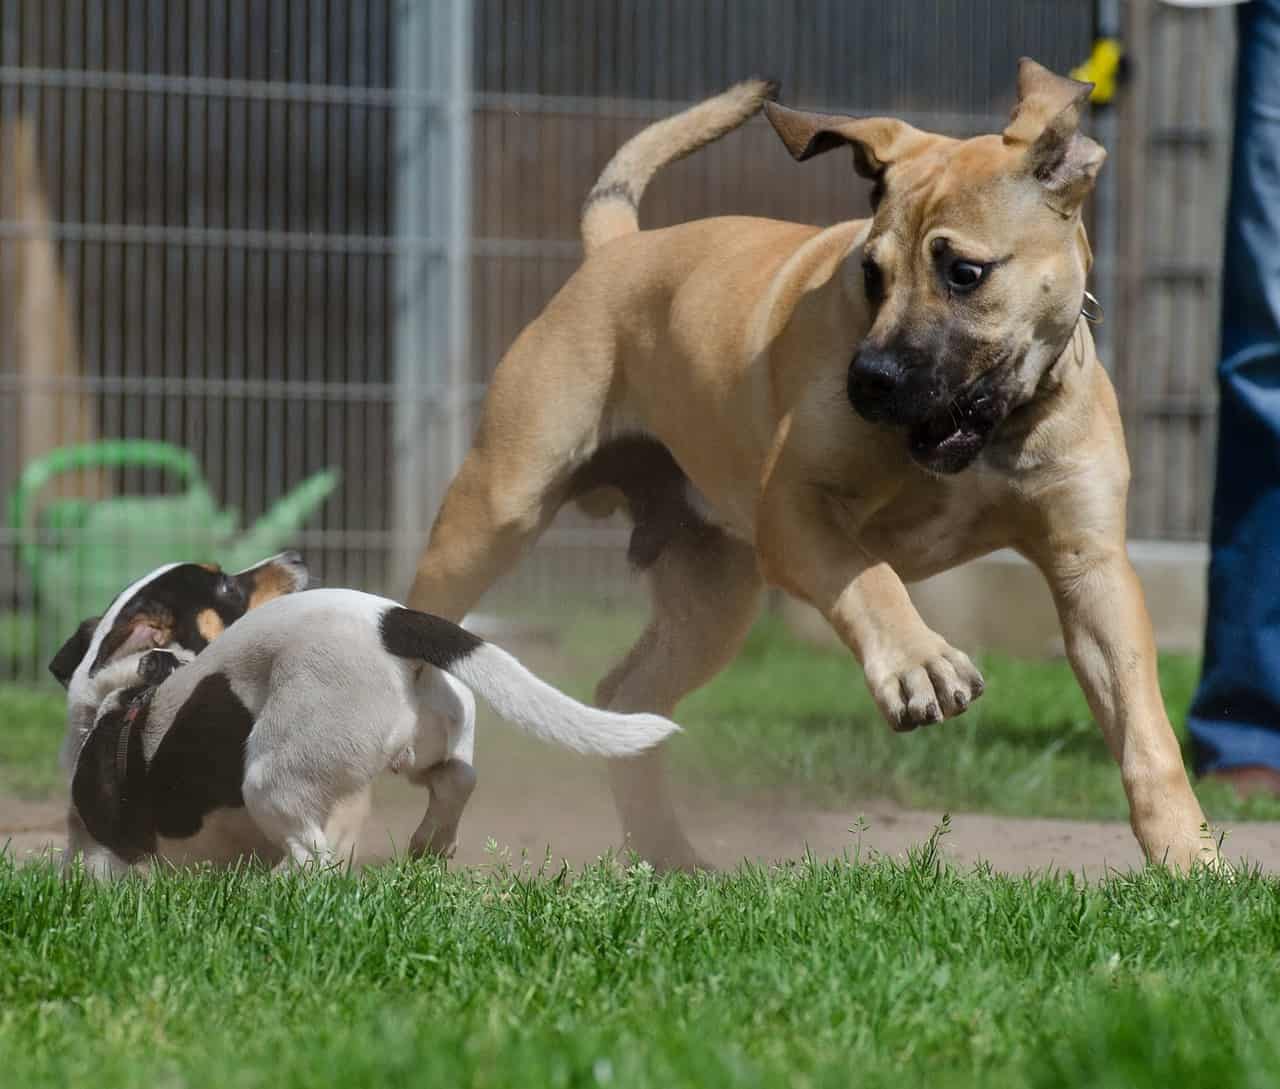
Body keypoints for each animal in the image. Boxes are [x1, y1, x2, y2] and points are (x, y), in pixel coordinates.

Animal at [47, 552, 680, 875]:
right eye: (227, 586)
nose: (296, 555)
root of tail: (392, 619)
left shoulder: (106, 858)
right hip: (421, 738)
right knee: (456, 778)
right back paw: (428, 844)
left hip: (271, 777)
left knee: (314, 862)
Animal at [409, 61, 1218, 875]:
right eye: (872, 273)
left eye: (964, 272)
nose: (869, 381)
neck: (992, 433)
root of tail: (616, 249)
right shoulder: (795, 512)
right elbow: (873, 578)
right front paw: (919, 662)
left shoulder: (1091, 570)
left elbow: (1145, 729)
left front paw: (1187, 855)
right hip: (495, 510)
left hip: (711, 599)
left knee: (625, 695)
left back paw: (667, 850)